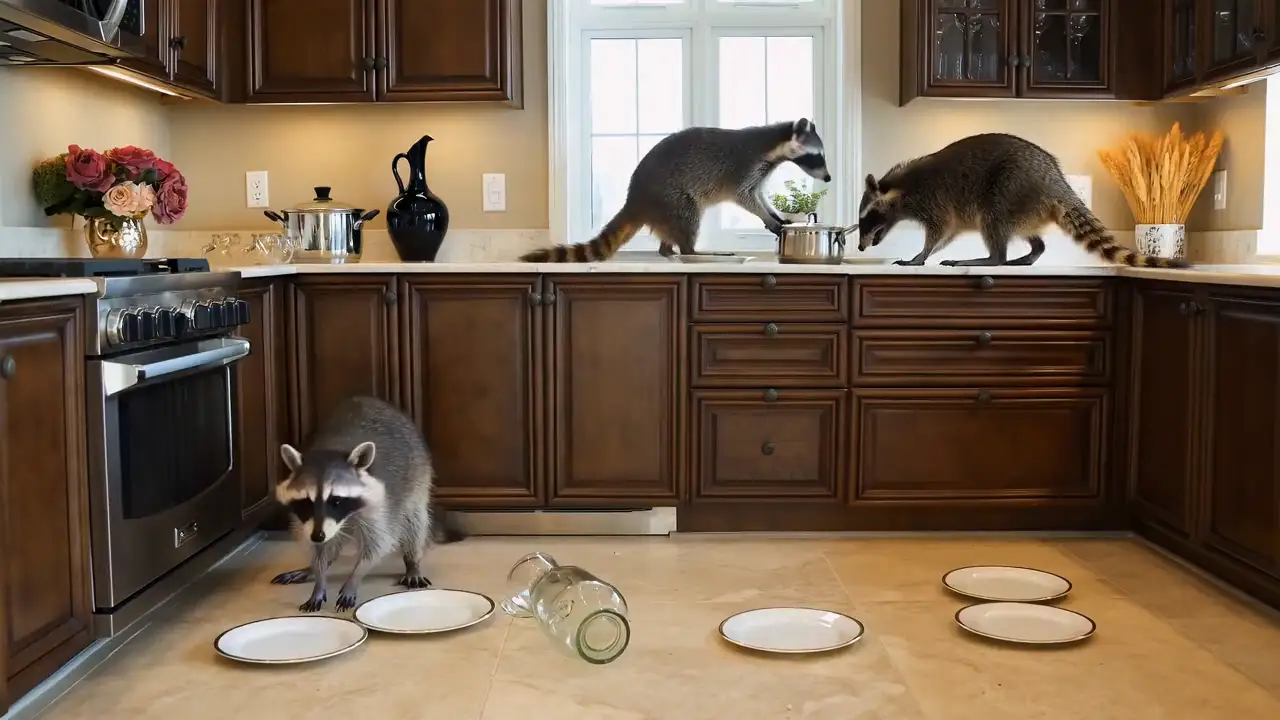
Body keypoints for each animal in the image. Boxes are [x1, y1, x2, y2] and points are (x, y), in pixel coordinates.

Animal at [271, 396, 440, 613]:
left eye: (336, 500)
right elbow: (319, 549)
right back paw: (313, 568)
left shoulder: (382, 505)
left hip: (418, 477)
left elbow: (379, 543)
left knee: (415, 520)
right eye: (306, 502)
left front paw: (355, 578)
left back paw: (412, 561)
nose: (318, 536)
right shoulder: (307, 522)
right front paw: (319, 577)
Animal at [520, 119, 832, 263]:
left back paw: (668, 250)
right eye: (817, 156)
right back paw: (692, 251)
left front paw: (776, 215)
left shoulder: (760, 173)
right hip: (671, 196)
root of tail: (635, 198)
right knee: (688, 216)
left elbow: (759, 195)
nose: (828, 178)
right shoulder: (744, 167)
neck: (772, 145)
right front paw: (767, 217)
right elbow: (744, 197)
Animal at [857, 133, 1191, 269]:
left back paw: (992, 258)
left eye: (867, 219)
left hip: (1010, 187)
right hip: (1029, 205)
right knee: (1028, 235)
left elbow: (941, 230)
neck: (899, 188)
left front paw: (920, 254)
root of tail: (1057, 182)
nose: (859, 247)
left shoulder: (934, 200)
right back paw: (1031, 252)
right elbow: (948, 233)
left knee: (993, 221)